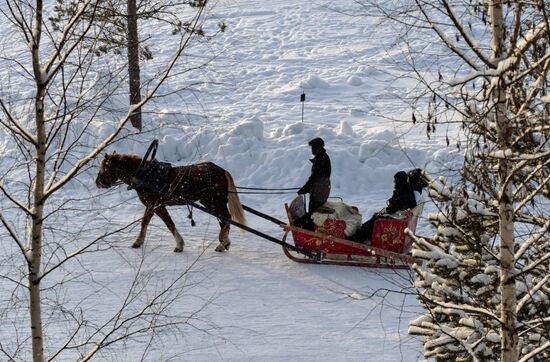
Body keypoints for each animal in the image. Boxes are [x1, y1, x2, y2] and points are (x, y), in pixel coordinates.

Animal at [96, 152, 247, 252]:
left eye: (105, 167)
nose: (97, 182)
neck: (144, 175)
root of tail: (223, 171)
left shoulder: (155, 205)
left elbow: (166, 223)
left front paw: (179, 244)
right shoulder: (153, 205)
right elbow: (149, 222)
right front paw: (139, 241)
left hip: (213, 201)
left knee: (226, 218)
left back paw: (222, 242)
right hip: (211, 202)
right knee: (224, 220)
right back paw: (224, 243)